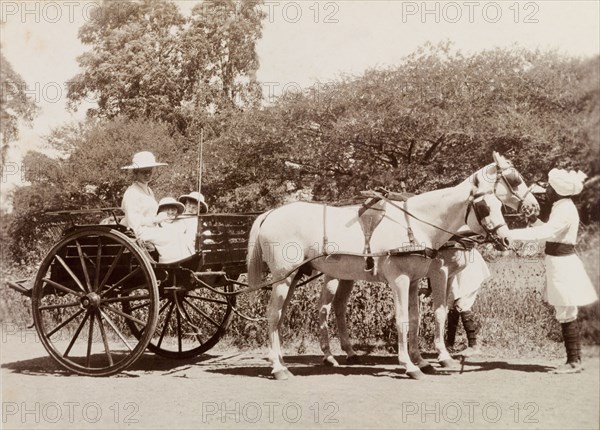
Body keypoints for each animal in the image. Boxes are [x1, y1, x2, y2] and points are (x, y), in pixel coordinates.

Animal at [246, 152, 536, 380]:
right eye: (484, 207)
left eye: (499, 204)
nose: (507, 238)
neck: (416, 224)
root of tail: (270, 213)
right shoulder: (407, 278)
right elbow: (408, 318)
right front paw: (413, 364)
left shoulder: (417, 280)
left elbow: (417, 319)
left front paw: (423, 361)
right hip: (284, 277)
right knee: (275, 315)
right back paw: (280, 368)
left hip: (302, 276)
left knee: (304, 312)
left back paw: (304, 358)